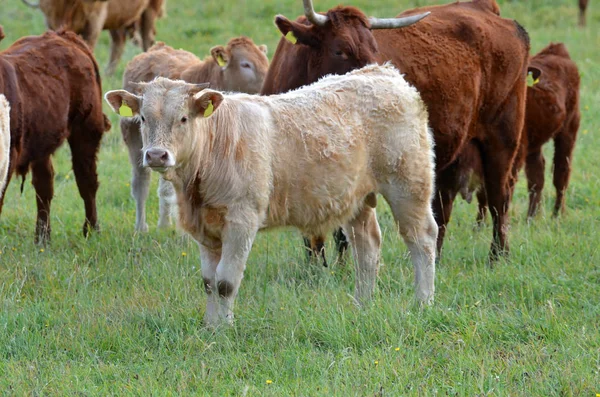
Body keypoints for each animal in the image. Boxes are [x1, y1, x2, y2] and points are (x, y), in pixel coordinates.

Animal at [0, 27, 110, 243]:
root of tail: (63, 35)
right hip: (41, 139)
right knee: (44, 185)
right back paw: (42, 238)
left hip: (86, 129)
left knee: (87, 181)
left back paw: (91, 230)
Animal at [22, 0, 165, 73]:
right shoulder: (50, 19)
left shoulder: (94, 20)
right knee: (118, 42)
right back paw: (109, 73)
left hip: (150, 9)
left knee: (147, 40)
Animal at [262, 0, 528, 262]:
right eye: (340, 50)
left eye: (375, 49)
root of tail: (486, 9)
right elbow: (312, 236)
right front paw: (316, 268)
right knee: (443, 205)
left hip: (502, 138)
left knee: (498, 198)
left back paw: (498, 255)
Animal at [458, 44, 580, 223]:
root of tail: (557, 51)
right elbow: (483, 191)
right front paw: (479, 225)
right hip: (534, 143)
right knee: (537, 175)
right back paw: (531, 218)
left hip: (569, 129)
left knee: (561, 173)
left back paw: (557, 215)